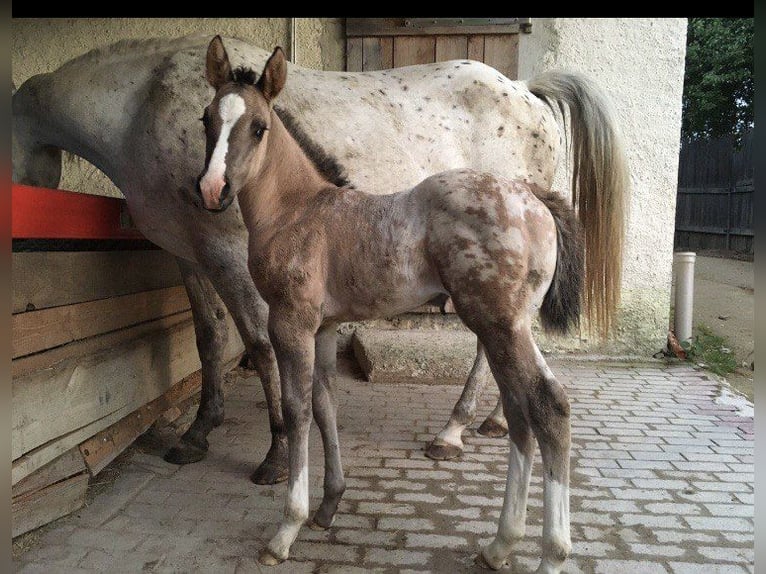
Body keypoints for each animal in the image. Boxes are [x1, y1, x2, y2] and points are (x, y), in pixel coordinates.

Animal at [12, 32, 632, 486]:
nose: (213, 189)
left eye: (257, 128)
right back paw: (494, 419)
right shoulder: (187, 255)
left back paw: (452, 430)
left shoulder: (227, 255)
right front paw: (196, 435)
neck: (142, 104)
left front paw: (276, 452)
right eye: (203, 121)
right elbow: (209, 340)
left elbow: (260, 346)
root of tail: (525, 88)